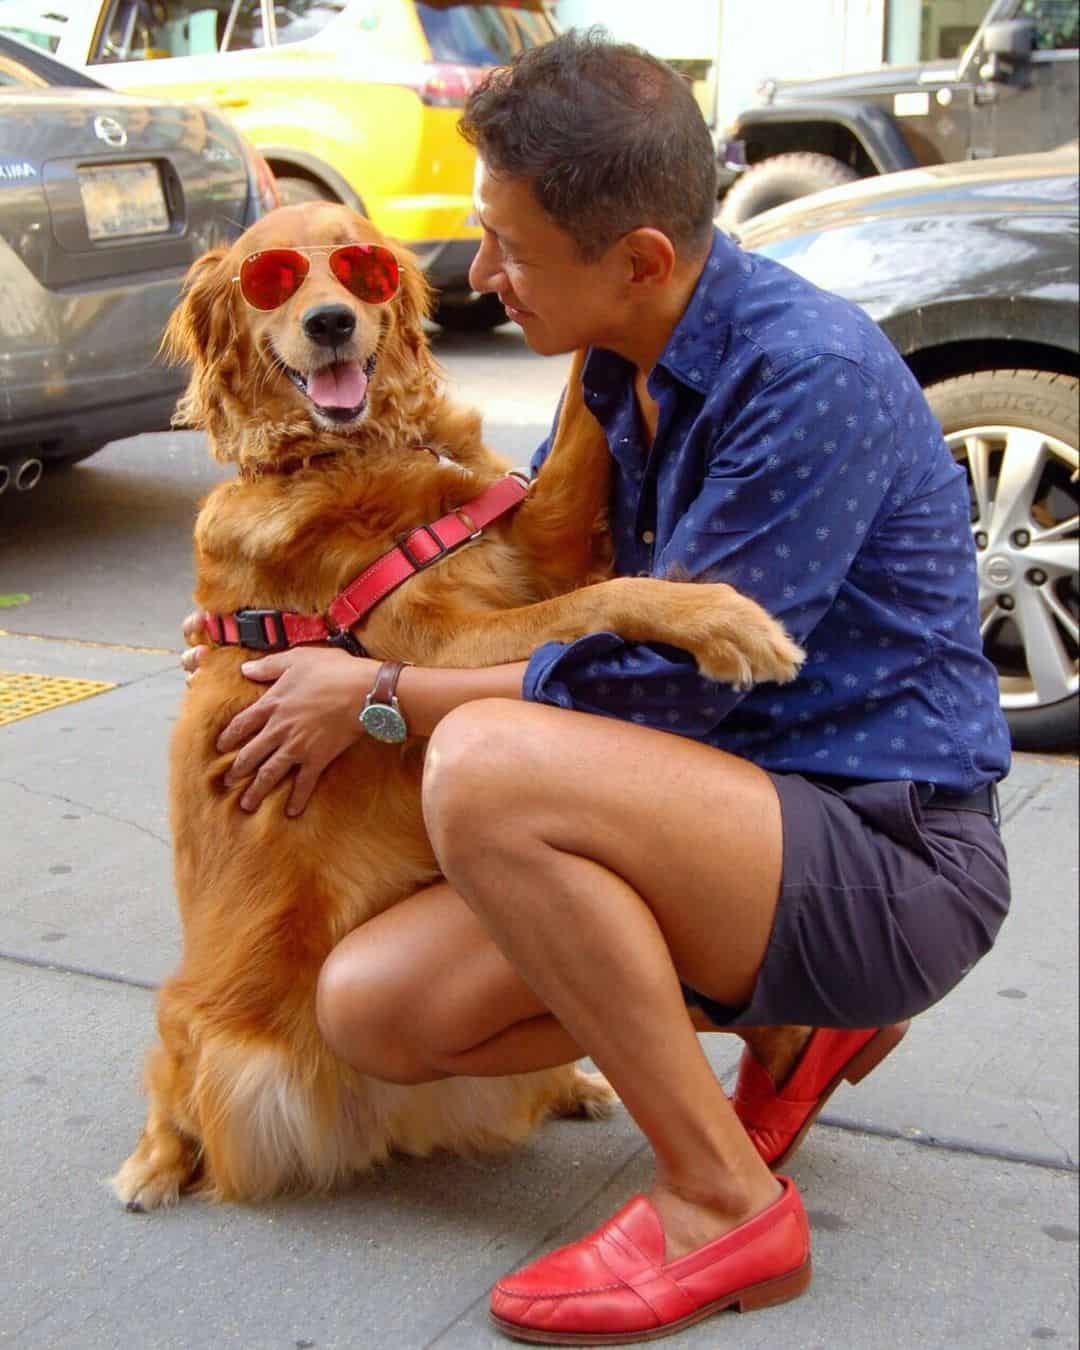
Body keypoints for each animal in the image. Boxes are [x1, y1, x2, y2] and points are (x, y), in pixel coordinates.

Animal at [112, 202, 799, 1215]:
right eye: (271, 278)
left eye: (360, 267)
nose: (331, 323)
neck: (354, 450)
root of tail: (365, 1121)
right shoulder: (439, 637)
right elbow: (605, 599)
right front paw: (725, 619)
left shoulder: (539, 535)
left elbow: (580, 405)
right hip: (197, 1027)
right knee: (173, 1091)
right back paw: (152, 1167)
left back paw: (579, 1085)